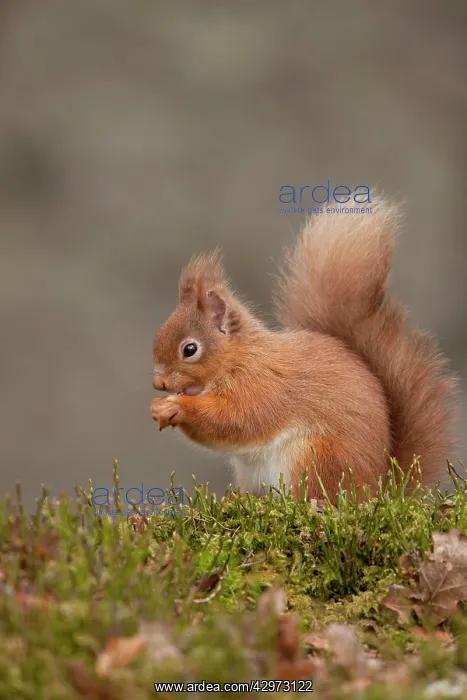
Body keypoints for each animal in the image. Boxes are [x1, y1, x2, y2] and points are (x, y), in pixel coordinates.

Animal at [150, 198, 457, 502]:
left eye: (190, 349)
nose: (158, 383)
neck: (238, 357)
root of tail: (377, 490)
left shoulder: (262, 386)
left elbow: (235, 420)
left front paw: (178, 406)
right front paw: (159, 407)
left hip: (315, 457)